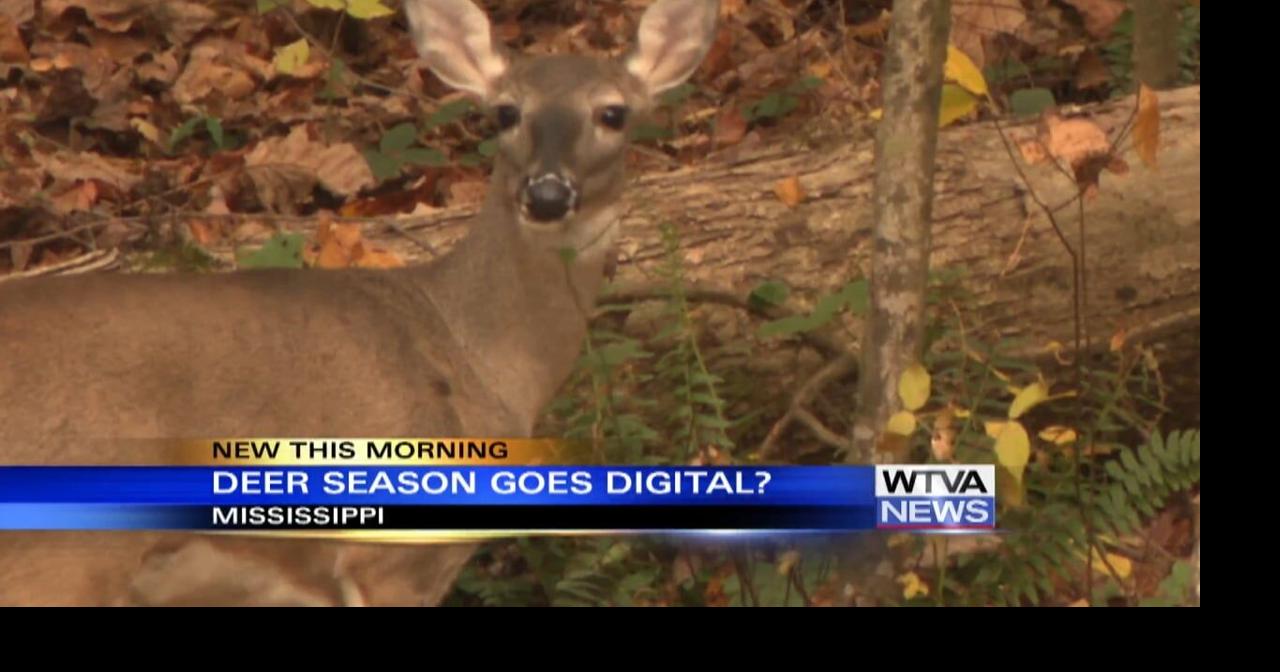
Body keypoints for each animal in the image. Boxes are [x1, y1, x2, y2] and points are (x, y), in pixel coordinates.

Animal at [0, 0, 720, 606]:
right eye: (506, 112)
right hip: (62, 553)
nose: (546, 195)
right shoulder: (395, 557)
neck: (471, 352)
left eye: (613, 112)